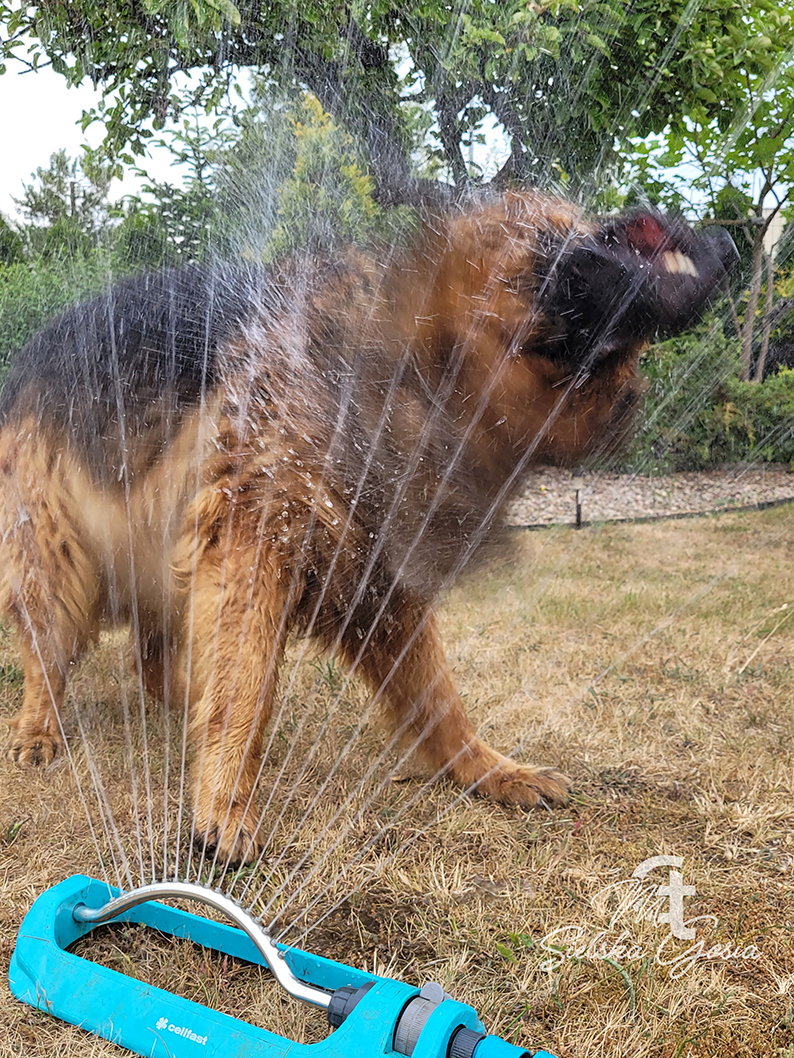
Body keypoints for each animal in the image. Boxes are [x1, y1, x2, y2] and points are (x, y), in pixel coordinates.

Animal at [0, 194, 736, 863]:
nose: (729, 246)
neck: (425, 372)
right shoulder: (255, 538)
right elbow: (245, 690)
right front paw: (224, 807)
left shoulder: (380, 580)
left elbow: (440, 699)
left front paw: (490, 771)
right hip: (57, 555)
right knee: (48, 653)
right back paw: (40, 730)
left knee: (151, 656)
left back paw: (181, 705)